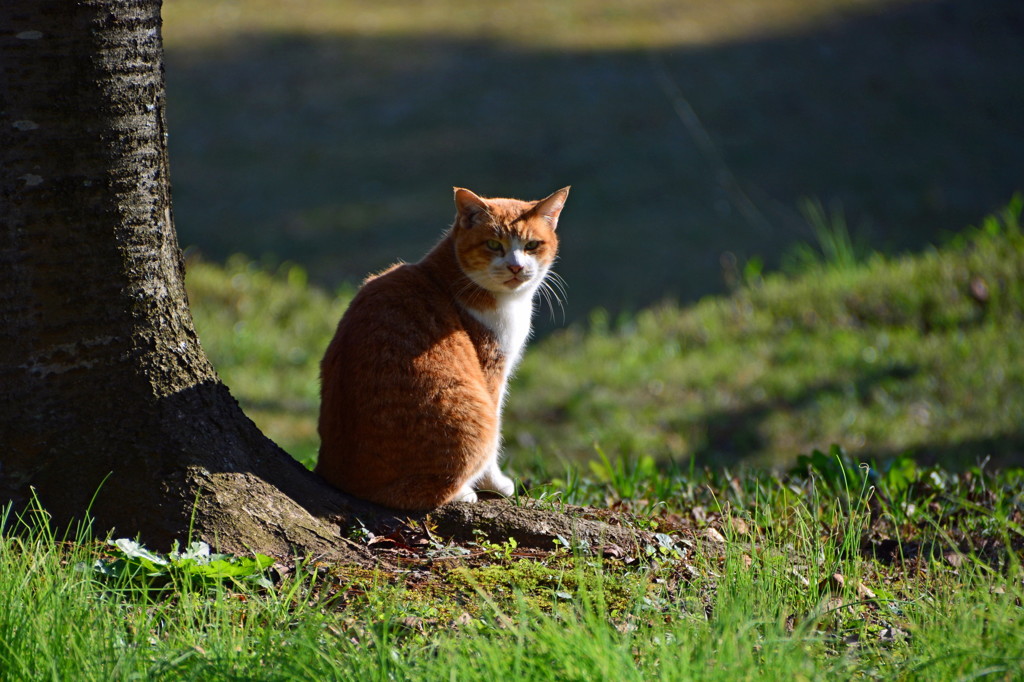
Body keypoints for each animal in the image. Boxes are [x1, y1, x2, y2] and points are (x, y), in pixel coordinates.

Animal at [315, 184, 569, 503]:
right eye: (493, 245)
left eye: (532, 245)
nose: (515, 267)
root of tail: (343, 479)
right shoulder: (491, 373)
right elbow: (495, 440)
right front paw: (495, 483)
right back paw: (464, 493)